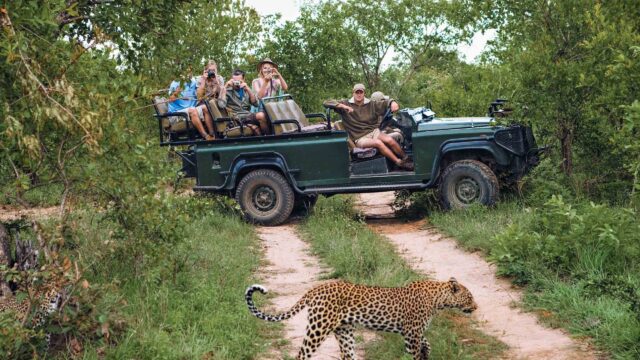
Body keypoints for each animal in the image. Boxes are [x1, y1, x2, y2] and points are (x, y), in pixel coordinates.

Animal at [245, 278, 476, 360]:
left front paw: (427, 351)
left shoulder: (411, 332)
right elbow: (415, 353)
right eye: (470, 297)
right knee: (302, 354)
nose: (476, 307)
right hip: (318, 328)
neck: (438, 298)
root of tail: (315, 289)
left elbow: (425, 343)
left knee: (347, 355)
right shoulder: (411, 334)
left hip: (344, 331)